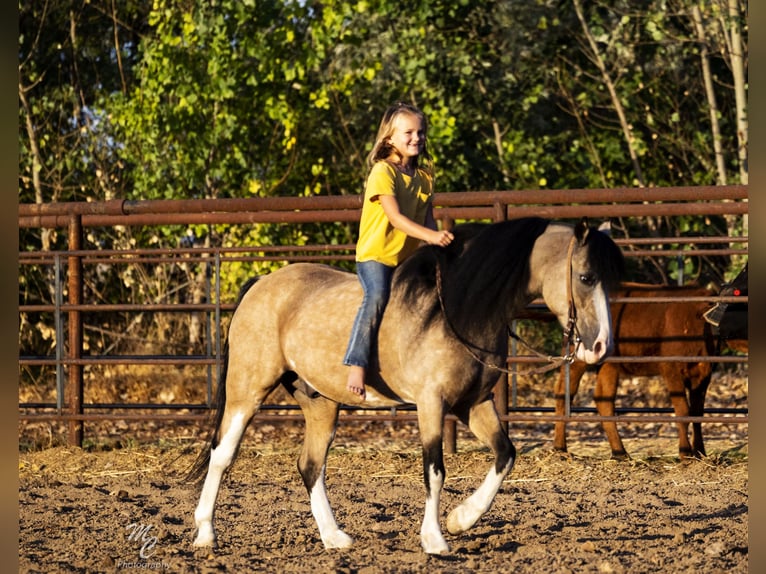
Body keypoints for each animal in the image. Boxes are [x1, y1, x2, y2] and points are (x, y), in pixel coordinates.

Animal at [189, 218, 628, 556]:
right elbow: (434, 469)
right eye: (586, 277)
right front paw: (434, 538)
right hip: (247, 390)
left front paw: (461, 519)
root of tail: (262, 283)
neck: (457, 311)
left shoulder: (474, 403)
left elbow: (505, 454)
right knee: (222, 455)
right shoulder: (431, 404)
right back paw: (206, 533)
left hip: (321, 402)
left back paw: (334, 537)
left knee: (310, 465)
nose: (601, 346)